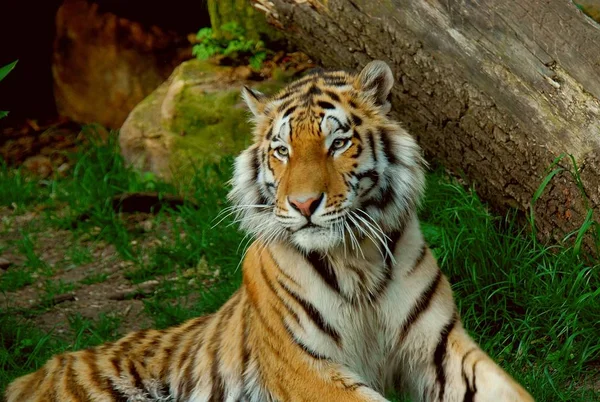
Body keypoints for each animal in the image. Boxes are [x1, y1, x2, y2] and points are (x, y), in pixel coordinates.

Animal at [5, 60, 536, 402]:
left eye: (337, 143)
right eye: (282, 150)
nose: (303, 205)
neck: (355, 259)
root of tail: (34, 372)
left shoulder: (437, 346)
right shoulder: (306, 367)